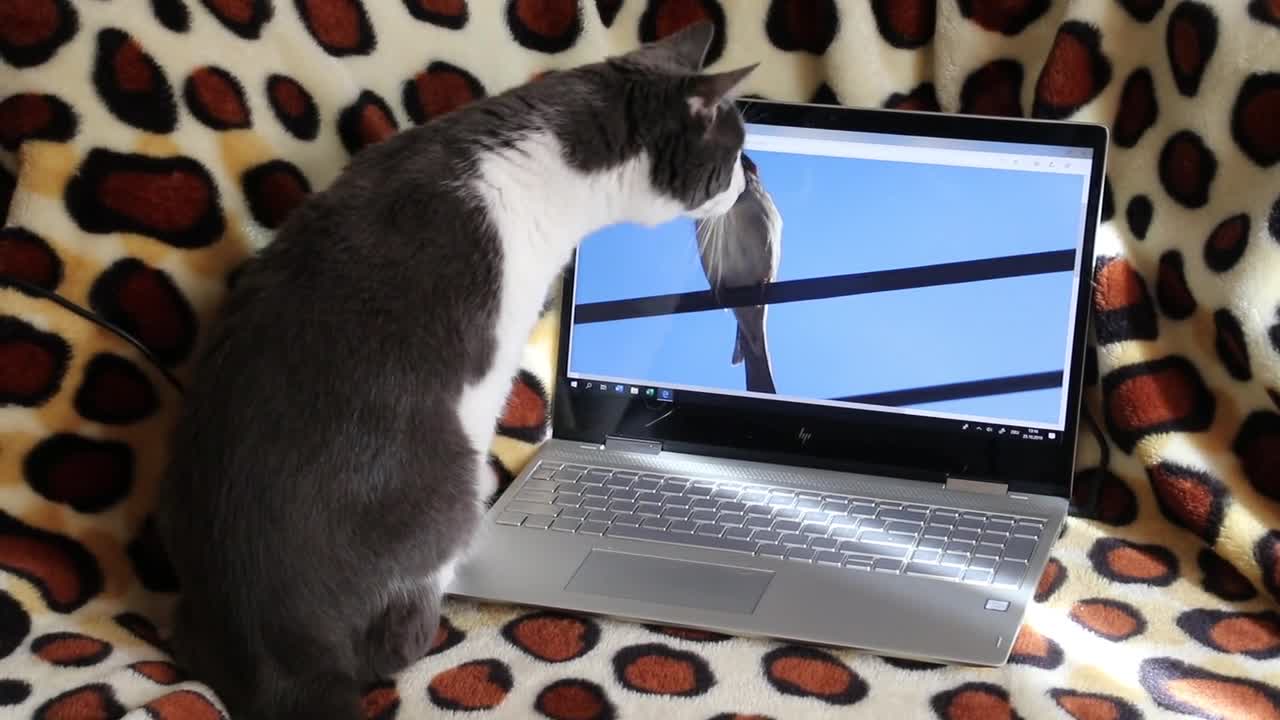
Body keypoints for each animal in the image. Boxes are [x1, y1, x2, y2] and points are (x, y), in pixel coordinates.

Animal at [154, 20, 752, 717]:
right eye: (731, 158)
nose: (746, 184)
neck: (554, 148)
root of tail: (274, 650)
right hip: (449, 485)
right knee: (396, 638)